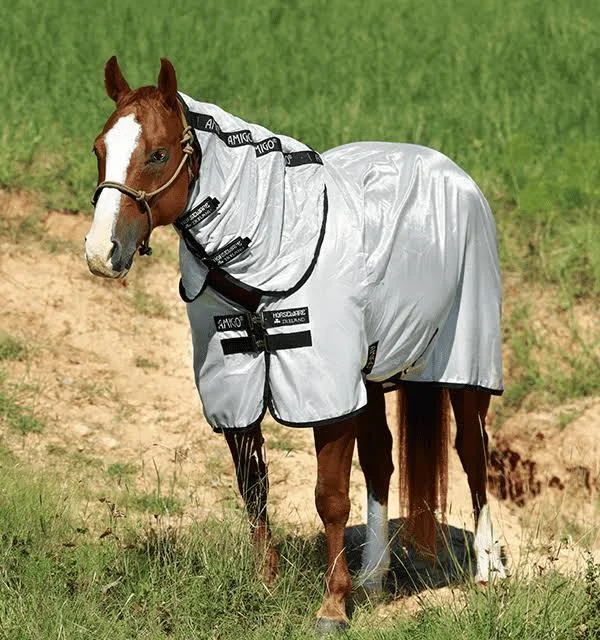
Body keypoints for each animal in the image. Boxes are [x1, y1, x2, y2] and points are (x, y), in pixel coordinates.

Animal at [85, 57, 506, 633]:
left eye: (158, 154)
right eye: (99, 149)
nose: (101, 252)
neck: (271, 248)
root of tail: (456, 175)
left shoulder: (325, 393)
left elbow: (330, 498)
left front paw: (332, 608)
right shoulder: (235, 389)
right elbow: (254, 490)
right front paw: (267, 585)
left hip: (467, 366)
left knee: (472, 453)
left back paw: (488, 570)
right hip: (371, 378)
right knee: (382, 462)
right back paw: (373, 578)